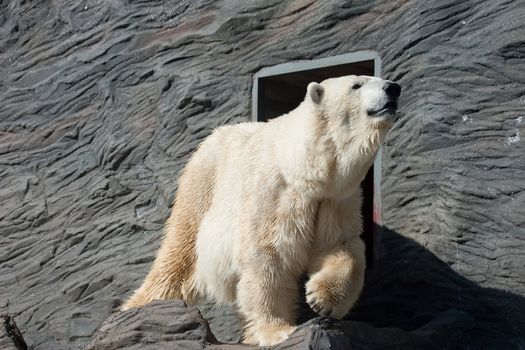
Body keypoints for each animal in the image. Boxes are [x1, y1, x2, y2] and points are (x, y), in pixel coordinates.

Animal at [122, 75, 402, 346]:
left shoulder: (335, 199)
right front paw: (278, 331)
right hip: (201, 186)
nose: (393, 88)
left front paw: (321, 300)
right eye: (356, 84)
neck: (302, 167)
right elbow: (268, 256)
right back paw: (136, 308)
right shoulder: (274, 193)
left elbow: (340, 245)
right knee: (179, 253)